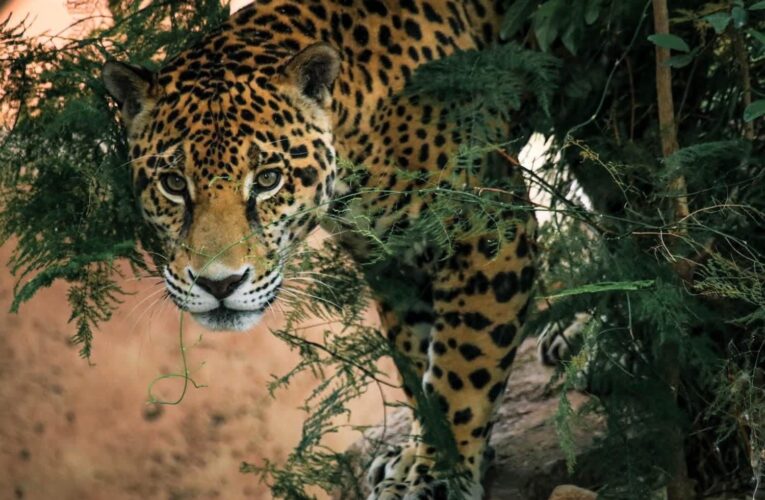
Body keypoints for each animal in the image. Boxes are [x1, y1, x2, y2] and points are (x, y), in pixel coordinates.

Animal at [102, 1, 536, 498]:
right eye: (174, 184)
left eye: (268, 179)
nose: (220, 285)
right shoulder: (393, 262)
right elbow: (417, 362)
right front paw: (421, 456)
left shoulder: (490, 230)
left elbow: (462, 367)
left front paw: (435, 473)